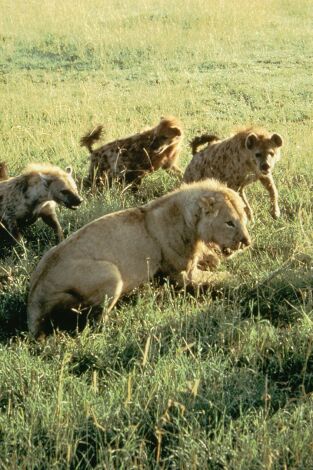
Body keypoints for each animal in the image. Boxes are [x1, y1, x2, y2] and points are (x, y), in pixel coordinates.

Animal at [27, 180, 251, 338]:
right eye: (230, 223)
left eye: (244, 219)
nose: (247, 242)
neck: (191, 222)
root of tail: (35, 298)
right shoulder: (181, 275)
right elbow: (222, 277)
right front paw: (247, 281)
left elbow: (214, 263)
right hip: (111, 273)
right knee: (94, 323)